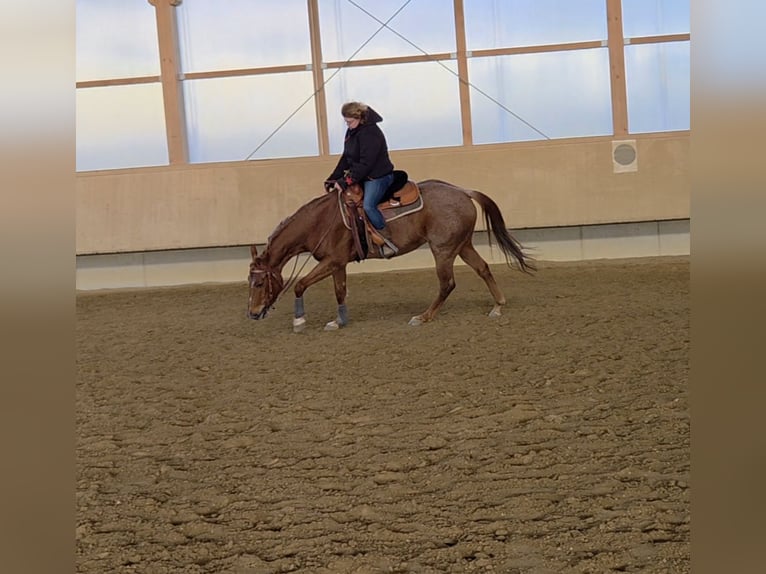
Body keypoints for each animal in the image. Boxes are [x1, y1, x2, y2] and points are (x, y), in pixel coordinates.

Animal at [247, 178, 535, 332]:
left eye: (259, 283)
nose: (253, 313)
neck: (321, 221)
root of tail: (462, 191)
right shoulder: (338, 264)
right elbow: (340, 291)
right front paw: (339, 320)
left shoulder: (332, 261)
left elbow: (300, 284)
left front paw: (299, 320)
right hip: (462, 245)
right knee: (483, 268)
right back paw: (497, 306)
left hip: (442, 249)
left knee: (447, 283)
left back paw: (423, 317)